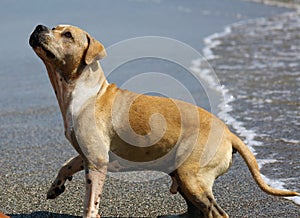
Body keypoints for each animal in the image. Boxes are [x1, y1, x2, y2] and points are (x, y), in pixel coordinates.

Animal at [29, 24, 298, 217]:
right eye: (54, 27)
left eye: (67, 35)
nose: (39, 26)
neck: (84, 90)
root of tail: (229, 132)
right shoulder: (88, 154)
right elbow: (66, 164)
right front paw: (56, 186)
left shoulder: (96, 160)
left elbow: (91, 202)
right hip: (183, 175)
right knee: (196, 211)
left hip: (192, 176)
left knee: (215, 212)